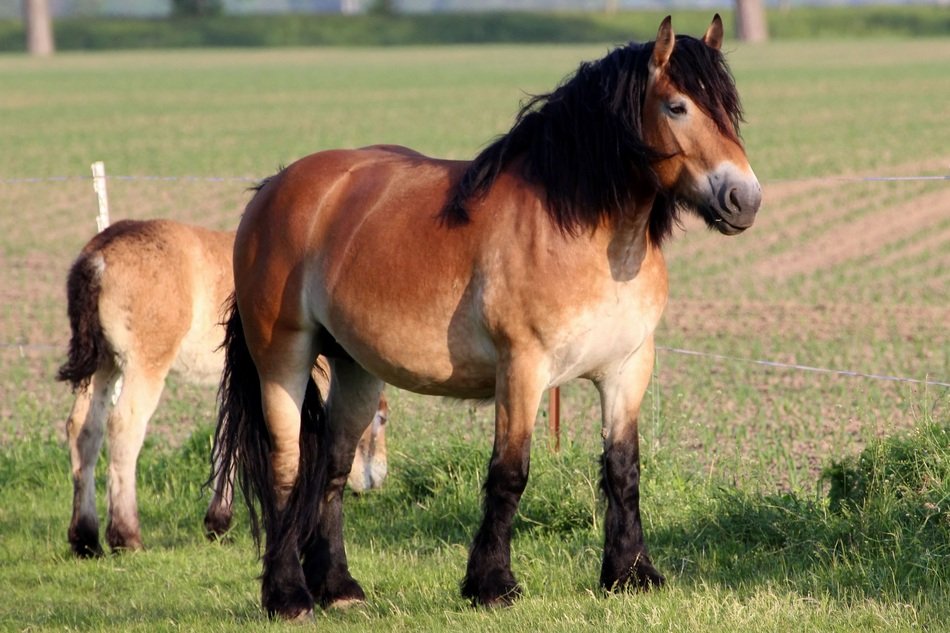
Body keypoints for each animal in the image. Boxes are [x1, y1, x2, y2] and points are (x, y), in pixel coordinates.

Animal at [57, 219, 389, 558]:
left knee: (83, 429)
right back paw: (126, 537)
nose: (377, 478)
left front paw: (218, 522)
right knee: (123, 427)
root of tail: (100, 254)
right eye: (382, 419)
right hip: (143, 366)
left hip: (104, 365)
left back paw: (86, 539)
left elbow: (225, 440)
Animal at [213, 15, 760, 618]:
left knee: (331, 469)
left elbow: (623, 469)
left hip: (357, 368)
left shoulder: (628, 370)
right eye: (678, 106)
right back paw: (287, 595)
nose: (744, 199)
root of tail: (274, 189)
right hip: (283, 358)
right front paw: (492, 584)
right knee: (287, 469)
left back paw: (338, 588)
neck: (585, 233)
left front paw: (631, 574)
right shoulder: (522, 369)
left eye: (729, 109)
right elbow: (510, 473)